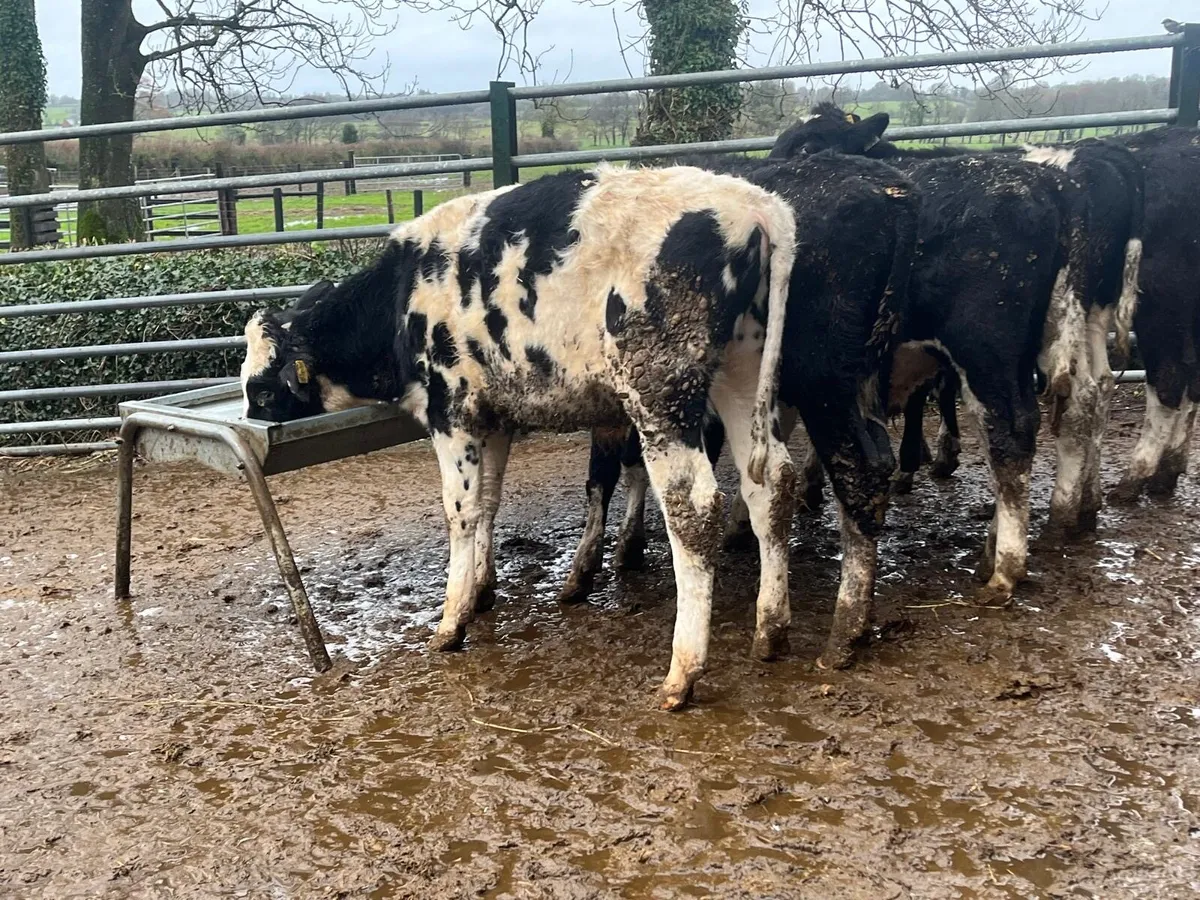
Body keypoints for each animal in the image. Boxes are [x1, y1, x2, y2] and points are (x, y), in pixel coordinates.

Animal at [240, 164, 798, 710]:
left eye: (263, 392)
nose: (250, 418)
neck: (403, 295)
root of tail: (756, 205)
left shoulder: (452, 411)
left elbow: (461, 512)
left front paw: (451, 620)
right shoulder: (495, 418)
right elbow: (488, 500)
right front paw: (481, 590)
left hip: (660, 391)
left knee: (694, 509)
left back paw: (683, 672)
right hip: (742, 370)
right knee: (771, 483)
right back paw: (770, 629)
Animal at [560, 151, 920, 671]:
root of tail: (889, 191)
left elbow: (603, 478)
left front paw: (586, 568)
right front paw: (630, 545)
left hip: (824, 378)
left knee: (858, 469)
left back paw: (844, 630)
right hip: (863, 376)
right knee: (872, 465)